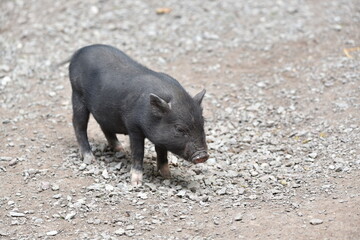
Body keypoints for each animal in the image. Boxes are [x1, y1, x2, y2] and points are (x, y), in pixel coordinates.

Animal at [67, 44, 208, 186]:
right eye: (179, 129)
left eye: (203, 123)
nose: (203, 156)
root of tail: (80, 51)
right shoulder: (133, 127)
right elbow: (138, 151)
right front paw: (136, 183)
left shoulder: (160, 137)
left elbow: (162, 153)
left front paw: (167, 176)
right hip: (77, 94)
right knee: (78, 124)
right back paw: (90, 159)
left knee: (103, 125)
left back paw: (121, 149)